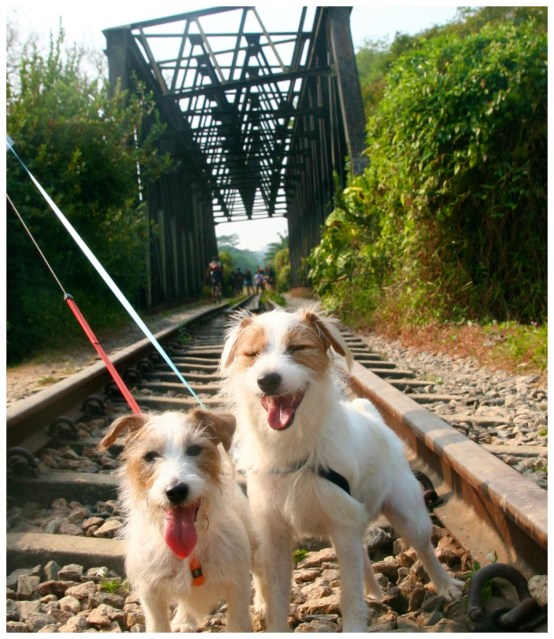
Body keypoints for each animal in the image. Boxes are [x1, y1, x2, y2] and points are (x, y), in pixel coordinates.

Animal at [98, 408, 256, 632]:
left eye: (194, 449)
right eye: (150, 456)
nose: (176, 491)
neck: (190, 552)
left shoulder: (238, 585)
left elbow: (239, 623)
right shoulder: (150, 593)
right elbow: (158, 626)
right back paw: (183, 622)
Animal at [219, 305, 464, 632]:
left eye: (297, 348)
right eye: (252, 354)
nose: (267, 379)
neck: (293, 445)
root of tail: (372, 415)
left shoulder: (342, 524)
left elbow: (349, 594)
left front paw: (355, 626)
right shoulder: (276, 535)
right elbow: (278, 599)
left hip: (409, 513)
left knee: (423, 549)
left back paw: (445, 585)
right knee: (362, 555)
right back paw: (374, 591)